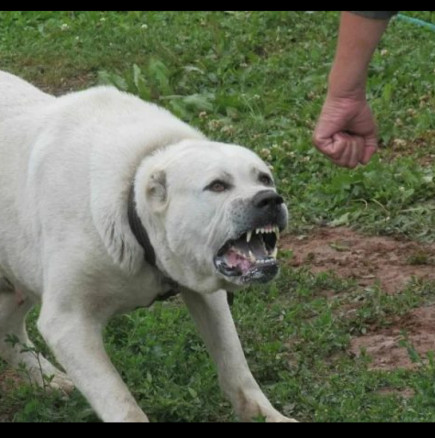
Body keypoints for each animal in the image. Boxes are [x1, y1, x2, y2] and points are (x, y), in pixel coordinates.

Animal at [0, 70, 296, 422]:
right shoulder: (69, 323)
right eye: (217, 186)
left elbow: (235, 365)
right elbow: (122, 404)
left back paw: (49, 380)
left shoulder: (206, 294)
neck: (131, 203)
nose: (270, 200)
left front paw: (268, 415)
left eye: (264, 179)